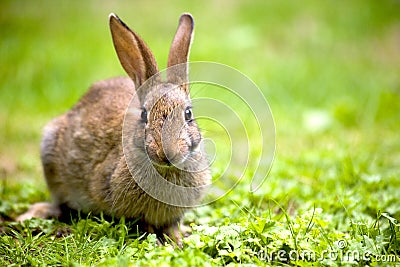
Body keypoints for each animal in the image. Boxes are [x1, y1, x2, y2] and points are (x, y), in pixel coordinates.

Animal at [18, 13, 212, 247]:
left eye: (188, 114)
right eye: (144, 115)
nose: (167, 153)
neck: (167, 170)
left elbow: (171, 226)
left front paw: (178, 240)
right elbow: (143, 225)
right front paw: (158, 242)